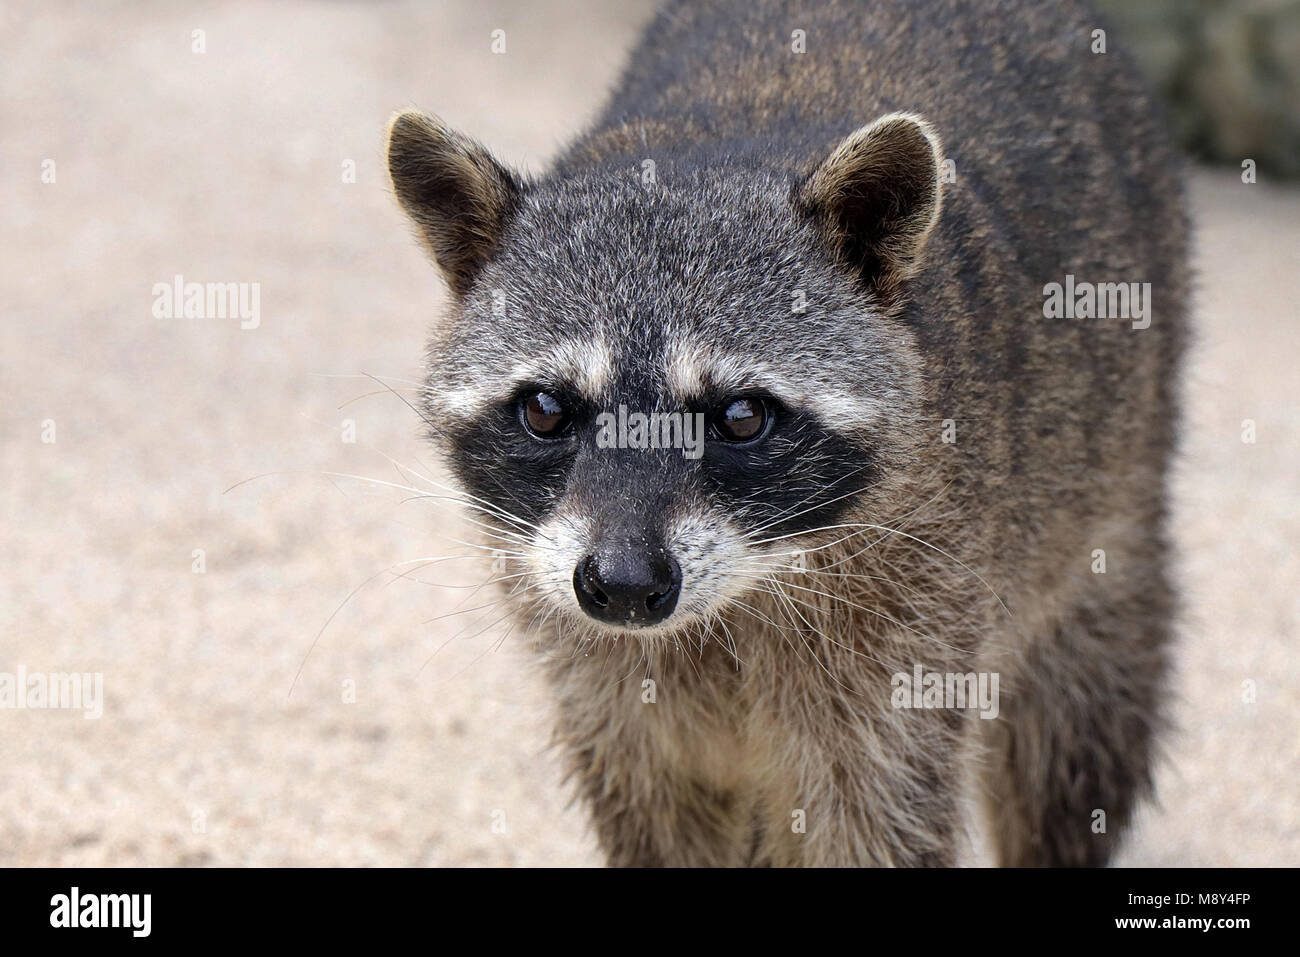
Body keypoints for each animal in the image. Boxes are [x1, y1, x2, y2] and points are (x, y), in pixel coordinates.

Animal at [386, 0, 1186, 866]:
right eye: (544, 411)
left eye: (740, 416)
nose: (625, 584)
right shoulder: (603, 681)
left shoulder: (918, 632)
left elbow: (878, 817)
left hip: (1118, 473)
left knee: (1079, 713)